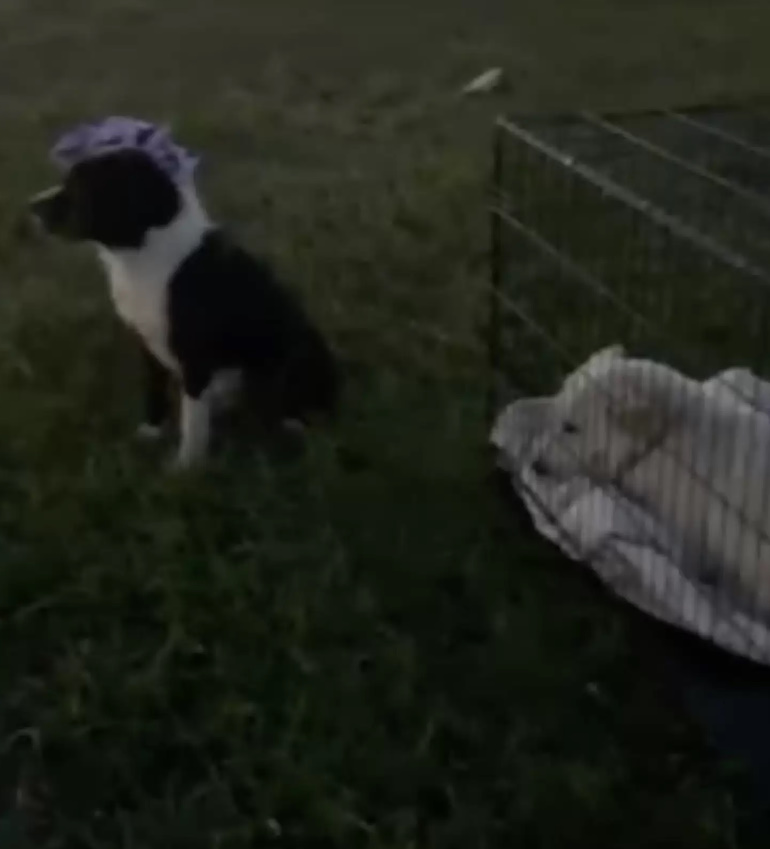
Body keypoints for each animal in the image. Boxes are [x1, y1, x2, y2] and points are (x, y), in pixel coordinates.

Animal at [30, 118, 336, 468]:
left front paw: (186, 469)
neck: (148, 255)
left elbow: (192, 423)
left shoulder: (194, 355)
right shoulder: (146, 342)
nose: (31, 206)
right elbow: (154, 391)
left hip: (298, 352)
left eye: (82, 186)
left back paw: (292, 428)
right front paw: (149, 434)